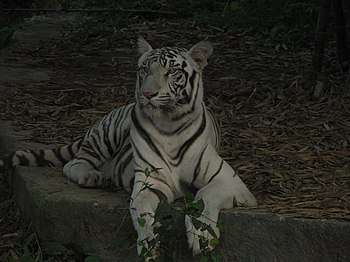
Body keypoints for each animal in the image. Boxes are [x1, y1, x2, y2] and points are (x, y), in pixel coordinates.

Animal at [0, 37, 258, 258]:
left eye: (172, 71)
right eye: (144, 70)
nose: (148, 94)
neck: (170, 125)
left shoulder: (229, 181)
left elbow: (204, 196)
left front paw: (202, 236)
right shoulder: (151, 181)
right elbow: (141, 210)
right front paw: (148, 244)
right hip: (107, 134)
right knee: (74, 162)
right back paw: (93, 176)